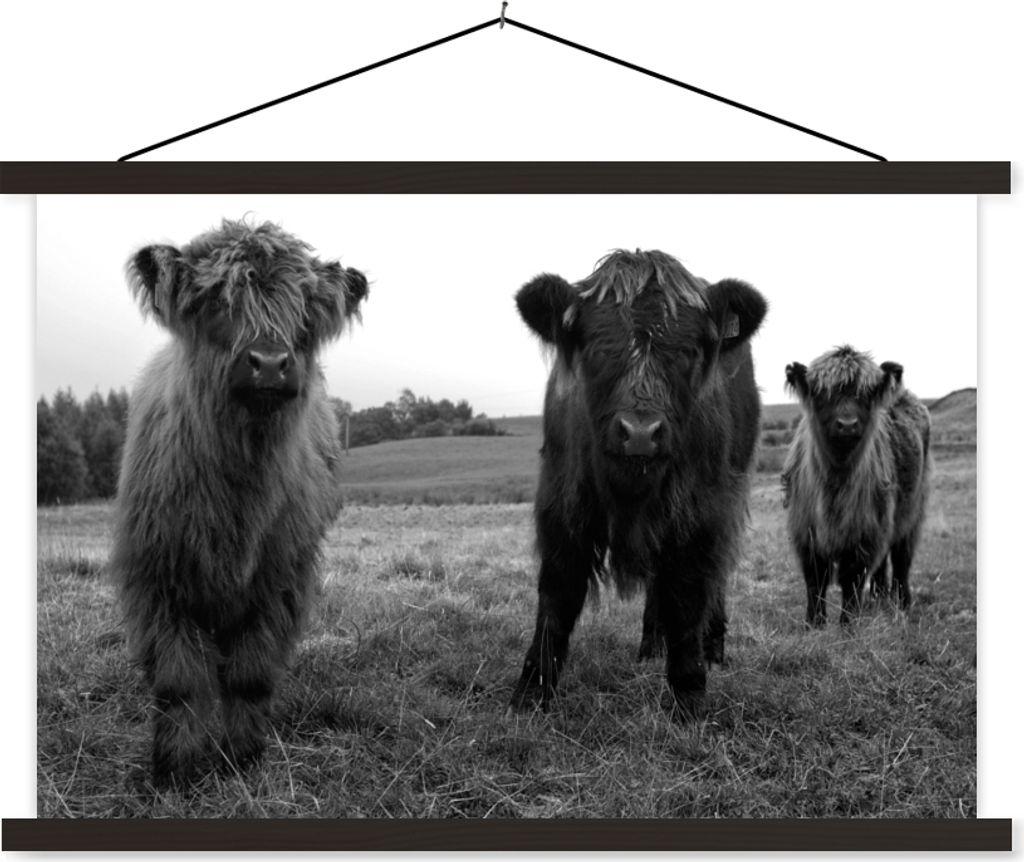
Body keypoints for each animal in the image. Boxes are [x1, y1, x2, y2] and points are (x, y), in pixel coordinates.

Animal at [110, 218, 367, 786]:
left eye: (302, 310)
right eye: (217, 301)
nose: (269, 364)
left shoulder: (278, 582)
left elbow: (250, 674)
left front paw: (242, 758)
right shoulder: (156, 579)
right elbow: (178, 681)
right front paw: (174, 770)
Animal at [509, 249, 767, 717]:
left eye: (688, 351)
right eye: (596, 347)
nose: (641, 433)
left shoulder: (700, 513)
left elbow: (687, 596)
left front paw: (688, 693)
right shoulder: (562, 503)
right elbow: (557, 594)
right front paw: (533, 689)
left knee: (713, 578)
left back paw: (713, 646)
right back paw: (651, 644)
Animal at [782, 345, 931, 627]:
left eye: (865, 394)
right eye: (823, 393)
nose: (847, 424)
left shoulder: (863, 532)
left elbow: (851, 579)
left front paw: (848, 624)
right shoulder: (805, 531)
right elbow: (815, 579)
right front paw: (814, 623)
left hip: (913, 511)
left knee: (901, 558)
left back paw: (902, 603)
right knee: (883, 563)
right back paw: (878, 599)